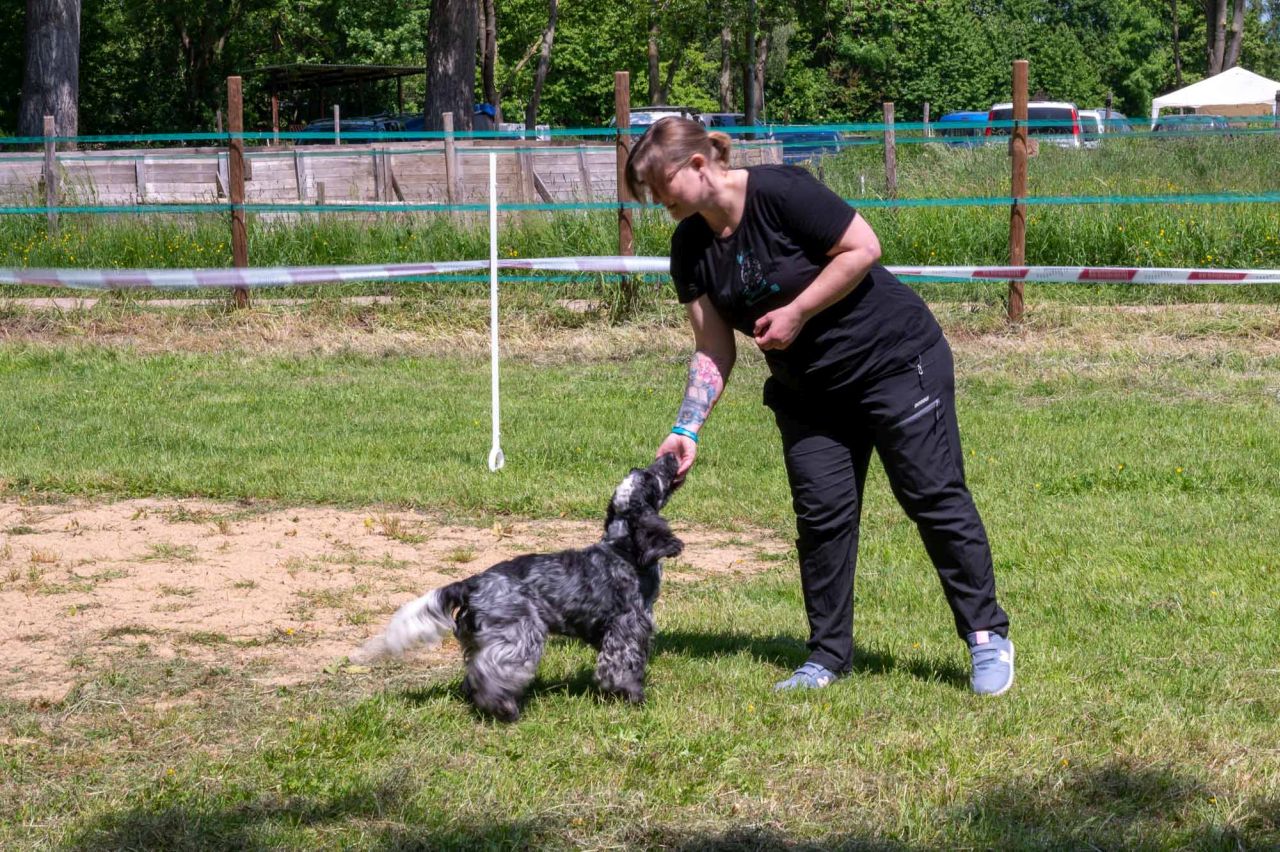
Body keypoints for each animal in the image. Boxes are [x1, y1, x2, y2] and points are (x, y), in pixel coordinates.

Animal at [355, 450, 686, 716]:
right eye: (650, 476)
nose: (671, 456)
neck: (622, 550)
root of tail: (472, 582)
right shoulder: (627, 628)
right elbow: (623, 669)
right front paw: (633, 698)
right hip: (520, 637)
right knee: (492, 674)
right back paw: (504, 709)